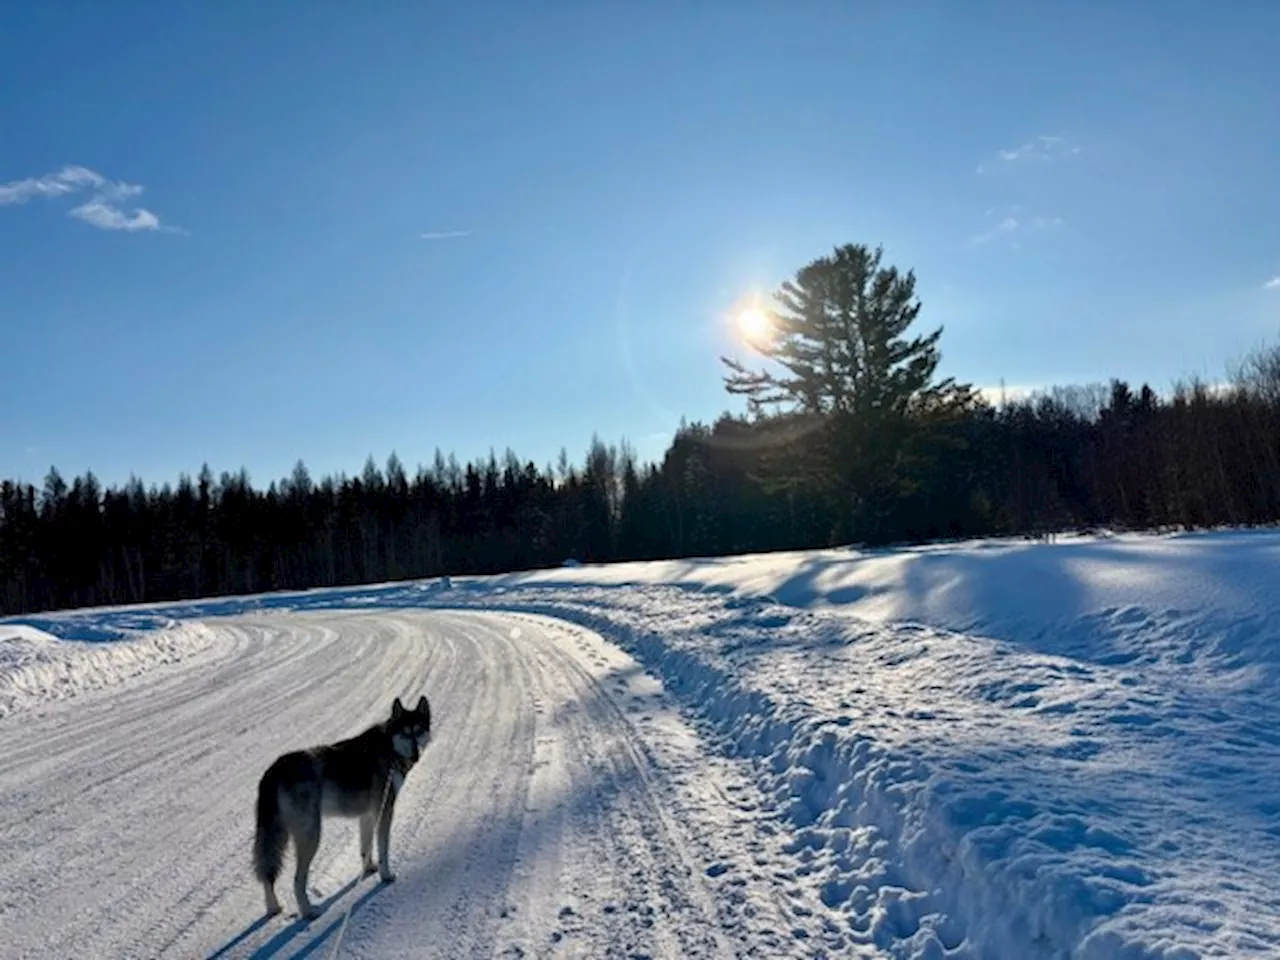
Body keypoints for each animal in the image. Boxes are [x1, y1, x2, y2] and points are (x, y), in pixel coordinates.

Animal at [254, 696, 435, 921]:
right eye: (405, 733)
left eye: (418, 731)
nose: (415, 755)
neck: (389, 748)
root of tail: (275, 768)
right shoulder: (385, 812)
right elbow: (383, 850)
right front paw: (386, 876)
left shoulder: (368, 815)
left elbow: (365, 848)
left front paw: (369, 869)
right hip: (310, 836)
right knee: (296, 881)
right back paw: (309, 912)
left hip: (278, 836)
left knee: (267, 874)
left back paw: (274, 908)